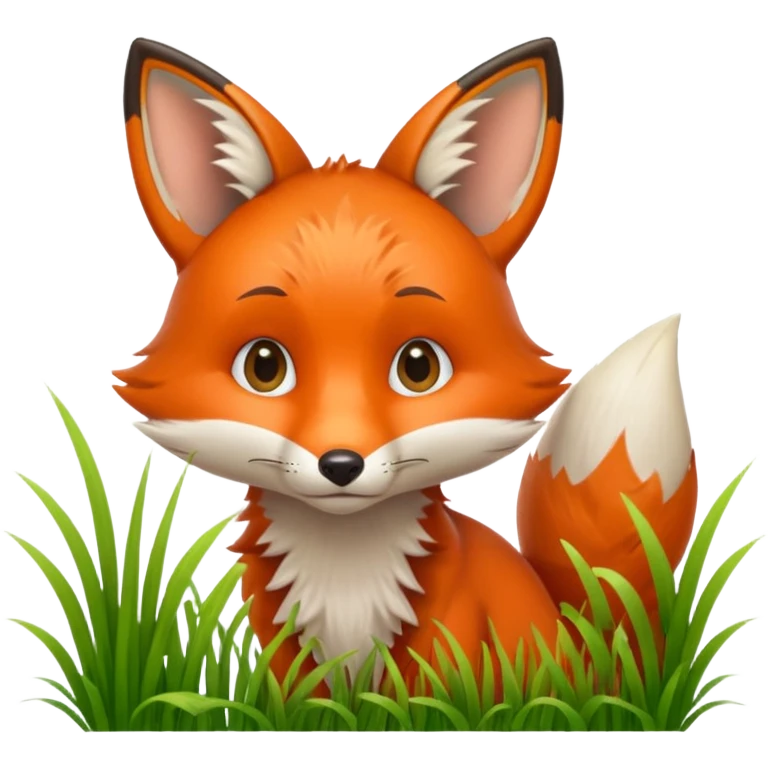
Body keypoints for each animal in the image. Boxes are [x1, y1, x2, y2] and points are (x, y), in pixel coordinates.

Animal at [118, 35, 698, 696]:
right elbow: (302, 702)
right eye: (264, 366)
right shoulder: (288, 646)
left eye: (418, 366)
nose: (340, 464)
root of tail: (584, 639)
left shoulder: (443, 629)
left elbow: (422, 695)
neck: (345, 567)